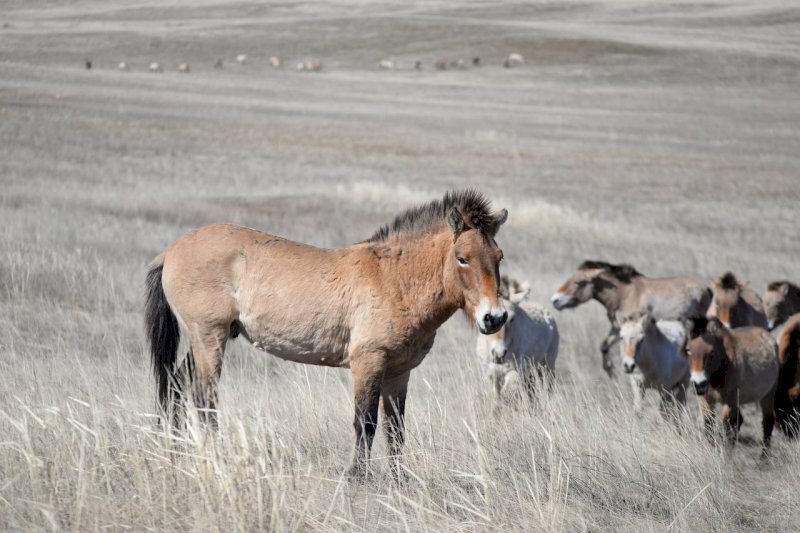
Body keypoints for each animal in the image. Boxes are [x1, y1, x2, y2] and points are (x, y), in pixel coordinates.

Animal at [145, 189, 510, 476]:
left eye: (499, 256)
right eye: (462, 258)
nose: (494, 317)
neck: (396, 278)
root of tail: (171, 251)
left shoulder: (399, 371)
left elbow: (396, 428)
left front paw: (399, 481)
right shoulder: (367, 363)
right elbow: (365, 423)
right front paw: (357, 478)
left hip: (205, 341)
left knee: (176, 387)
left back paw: (176, 454)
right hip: (209, 337)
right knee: (204, 399)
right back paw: (215, 458)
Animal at [552, 262, 712, 378]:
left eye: (579, 282)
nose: (555, 300)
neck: (624, 294)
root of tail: (708, 289)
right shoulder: (618, 328)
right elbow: (604, 346)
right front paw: (610, 370)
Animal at [684, 318, 780, 450]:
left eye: (711, 351)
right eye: (688, 350)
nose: (699, 383)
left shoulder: (729, 401)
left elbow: (726, 428)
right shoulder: (706, 399)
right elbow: (709, 425)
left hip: (768, 395)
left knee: (767, 423)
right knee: (739, 421)